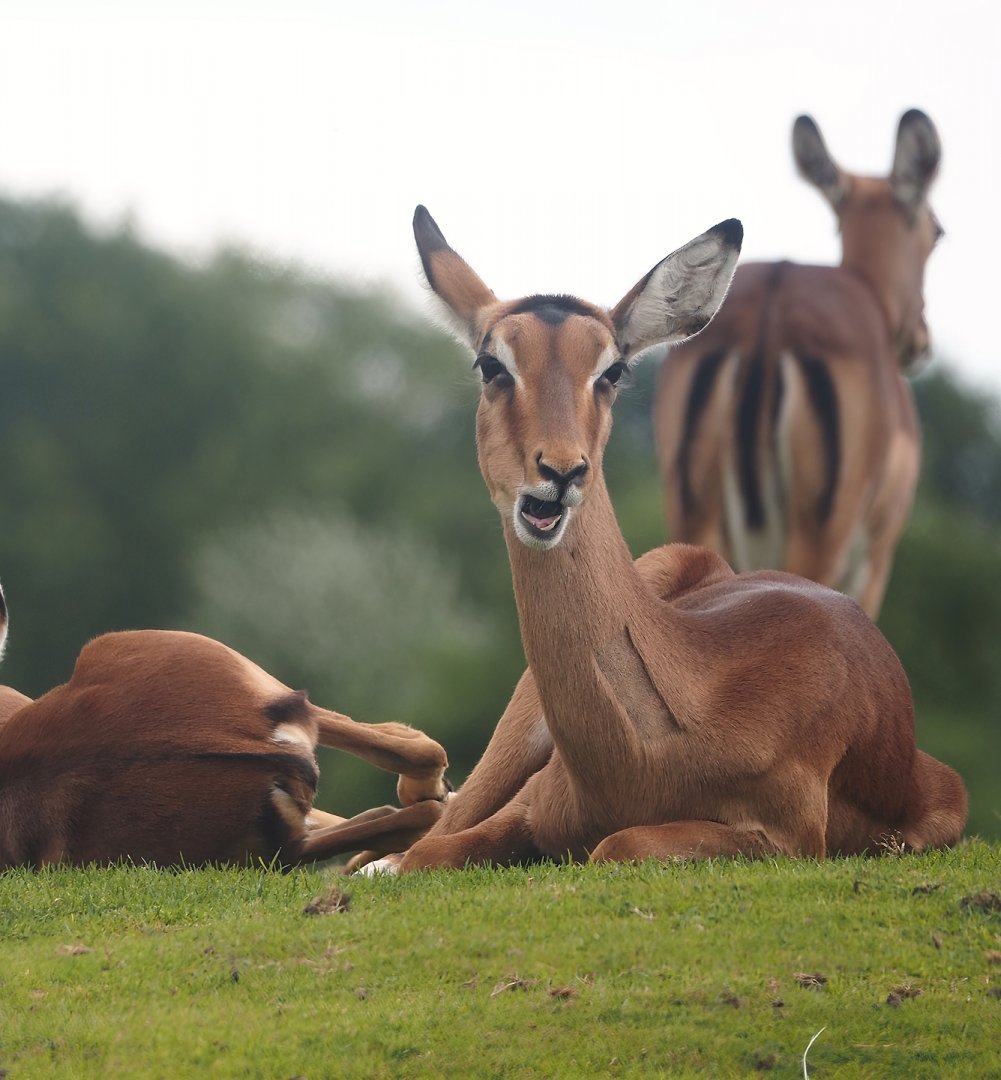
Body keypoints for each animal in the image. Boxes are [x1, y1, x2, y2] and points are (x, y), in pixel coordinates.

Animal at [390, 205, 965, 871]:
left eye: (612, 370)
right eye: (491, 364)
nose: (560, 472)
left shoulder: (791, 839)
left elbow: (616, 843)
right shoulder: (535, 804)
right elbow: (424, 856)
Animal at [654, 110, 942, 618]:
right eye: (937, 231)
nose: (921, 339)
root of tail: (771, 304)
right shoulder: (876, 560)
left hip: (695, 518)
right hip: (818, 539)